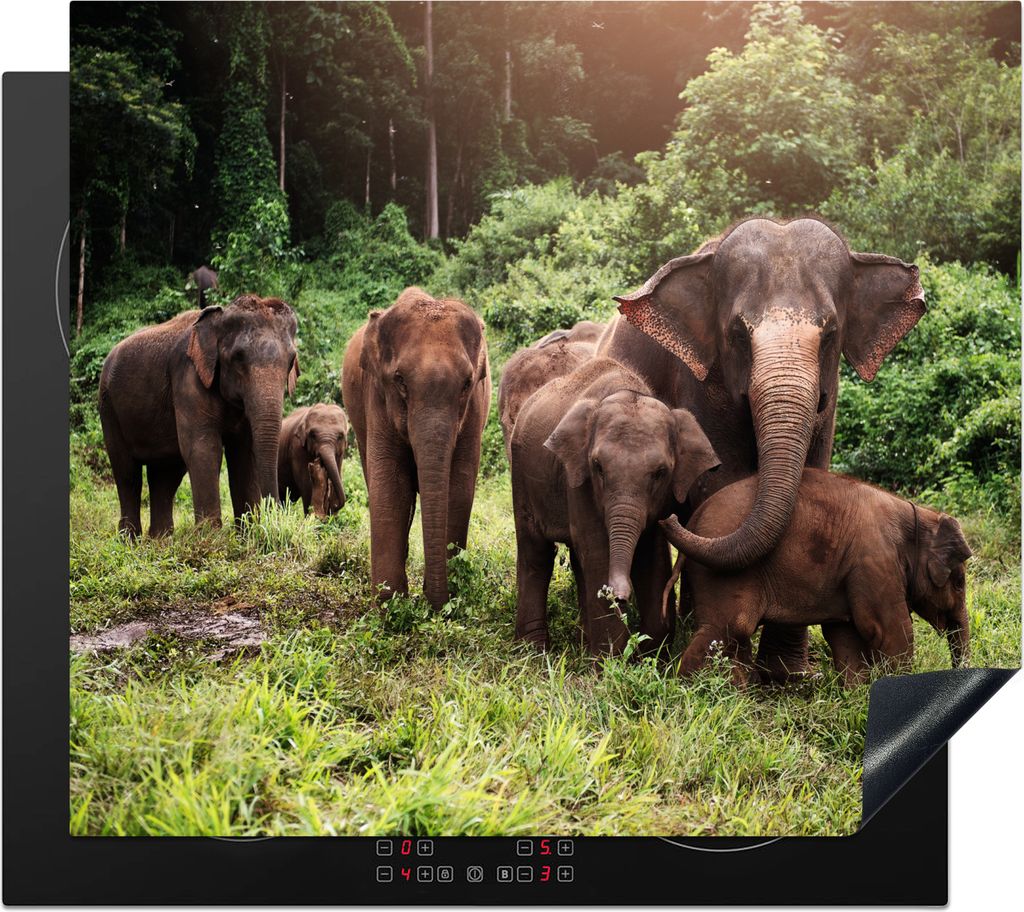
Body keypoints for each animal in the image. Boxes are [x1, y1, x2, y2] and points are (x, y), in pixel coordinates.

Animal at [99, 294, 300, 536]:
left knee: (165, 474)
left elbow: (244, 453)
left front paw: (248, 534)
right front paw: (212, 538)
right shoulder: (188, 378)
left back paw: (160, 539)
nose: (276, 521)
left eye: (291, 360)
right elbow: (203, 449)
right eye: (238, 357)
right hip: (109, 408)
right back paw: (130, 538)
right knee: (127, 473)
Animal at [342, 287, 491, 609]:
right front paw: (390, 604)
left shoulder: (474, 410)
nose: (435, 604)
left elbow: (458, 487)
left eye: (466, 383)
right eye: (400, 381)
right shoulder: (377, 397)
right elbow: (392, 488)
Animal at [510, 356, 719, 657]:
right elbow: (598, 551)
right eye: (598, 467)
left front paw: (650, 655)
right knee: (536, 552)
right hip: (522, 475)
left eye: (660, 473)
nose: (619, 596)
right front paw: (609, 661)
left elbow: (652, 555)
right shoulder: (578, 479)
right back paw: (534, 652)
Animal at [604, 216, 925, 680]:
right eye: (738, 334)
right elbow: (723, 485)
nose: (668, 519)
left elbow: (812, 476)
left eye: (830, 333)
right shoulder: (702, 386)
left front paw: (789, 677)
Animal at [662, 468, 971, 686]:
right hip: (722, 575)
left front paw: (857, 694)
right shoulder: (874, 562)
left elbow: (845, 635)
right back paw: (691, 691)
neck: (917, 514)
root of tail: (692, 520)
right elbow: (891, 632)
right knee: (728, 628)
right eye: (959, 583)